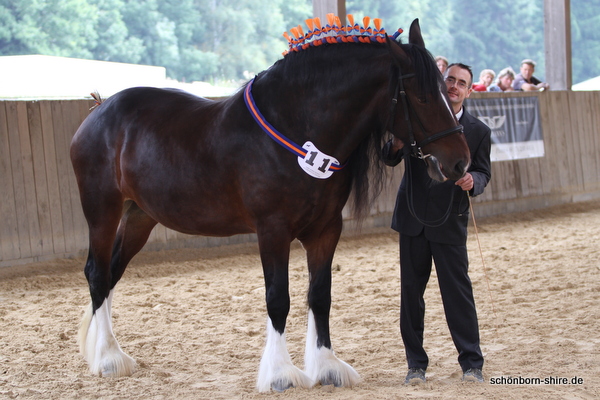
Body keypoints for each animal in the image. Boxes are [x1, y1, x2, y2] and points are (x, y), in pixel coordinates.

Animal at [70, 17, 472, 392]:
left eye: (448, 90)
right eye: (421, 97)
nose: (460, 163)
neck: (298, 129)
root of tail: (100, 109)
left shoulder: (326, 230)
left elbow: (320, 296)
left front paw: (327, 367)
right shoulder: (272, 230)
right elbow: (278, 298)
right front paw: (281, 374)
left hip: (140, 216)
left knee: (112, 273)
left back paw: (108, 352)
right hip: (102, 210)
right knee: (97, 272)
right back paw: (107, 359)